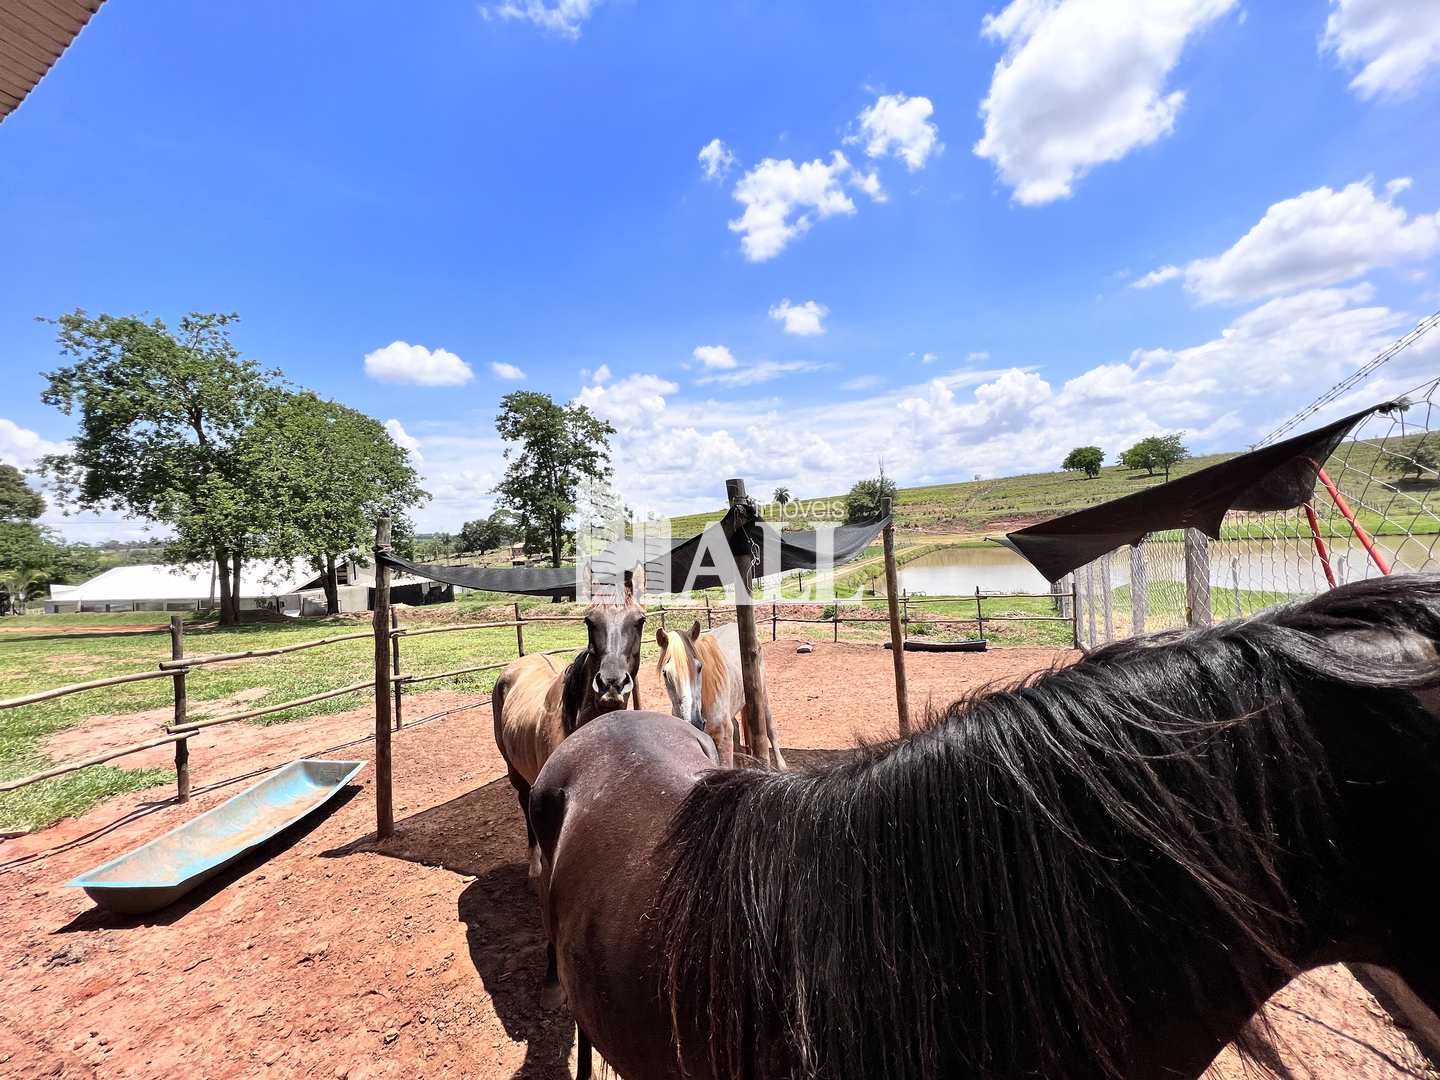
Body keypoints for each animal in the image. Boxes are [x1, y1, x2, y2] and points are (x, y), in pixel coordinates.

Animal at [656, 622, 789, 771]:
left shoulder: (723, 739)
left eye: (699, 667)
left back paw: (782, 766)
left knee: (770, 727)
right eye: (665, 673)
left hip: (763, 696)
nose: (694, 722)